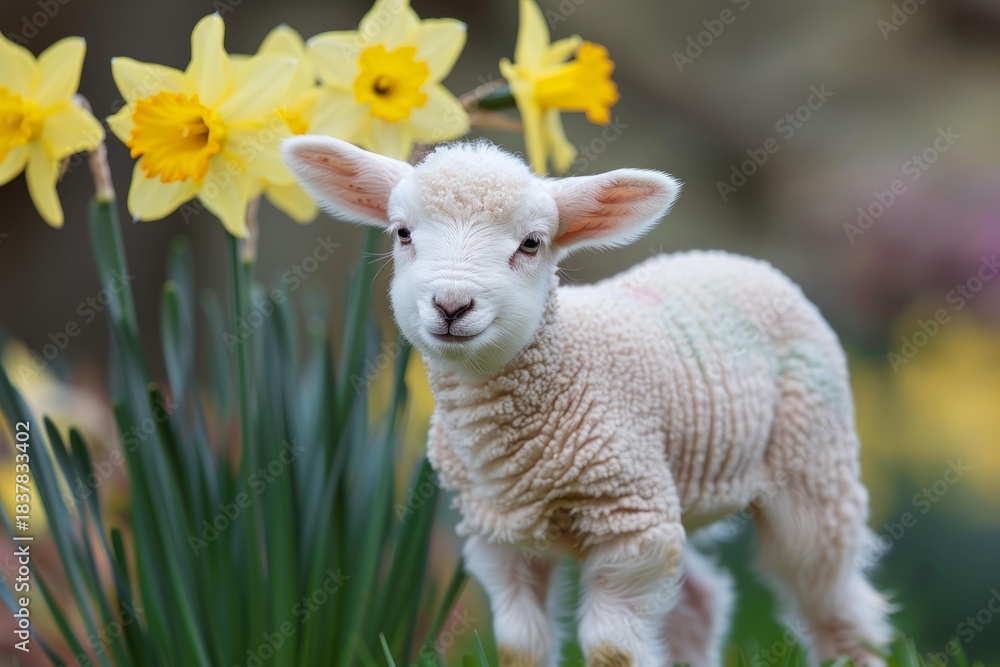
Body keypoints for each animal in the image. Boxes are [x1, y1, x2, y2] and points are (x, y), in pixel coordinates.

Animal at [281, 136, 892, 667]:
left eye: (531, 243)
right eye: (402, 233)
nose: (452, 305)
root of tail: (736, 259)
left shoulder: (631, 522)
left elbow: (612, 650)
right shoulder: (497, 535)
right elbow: (520, 647)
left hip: (814, 461)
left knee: (834, 600)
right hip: (681, 482)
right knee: (700, 599)